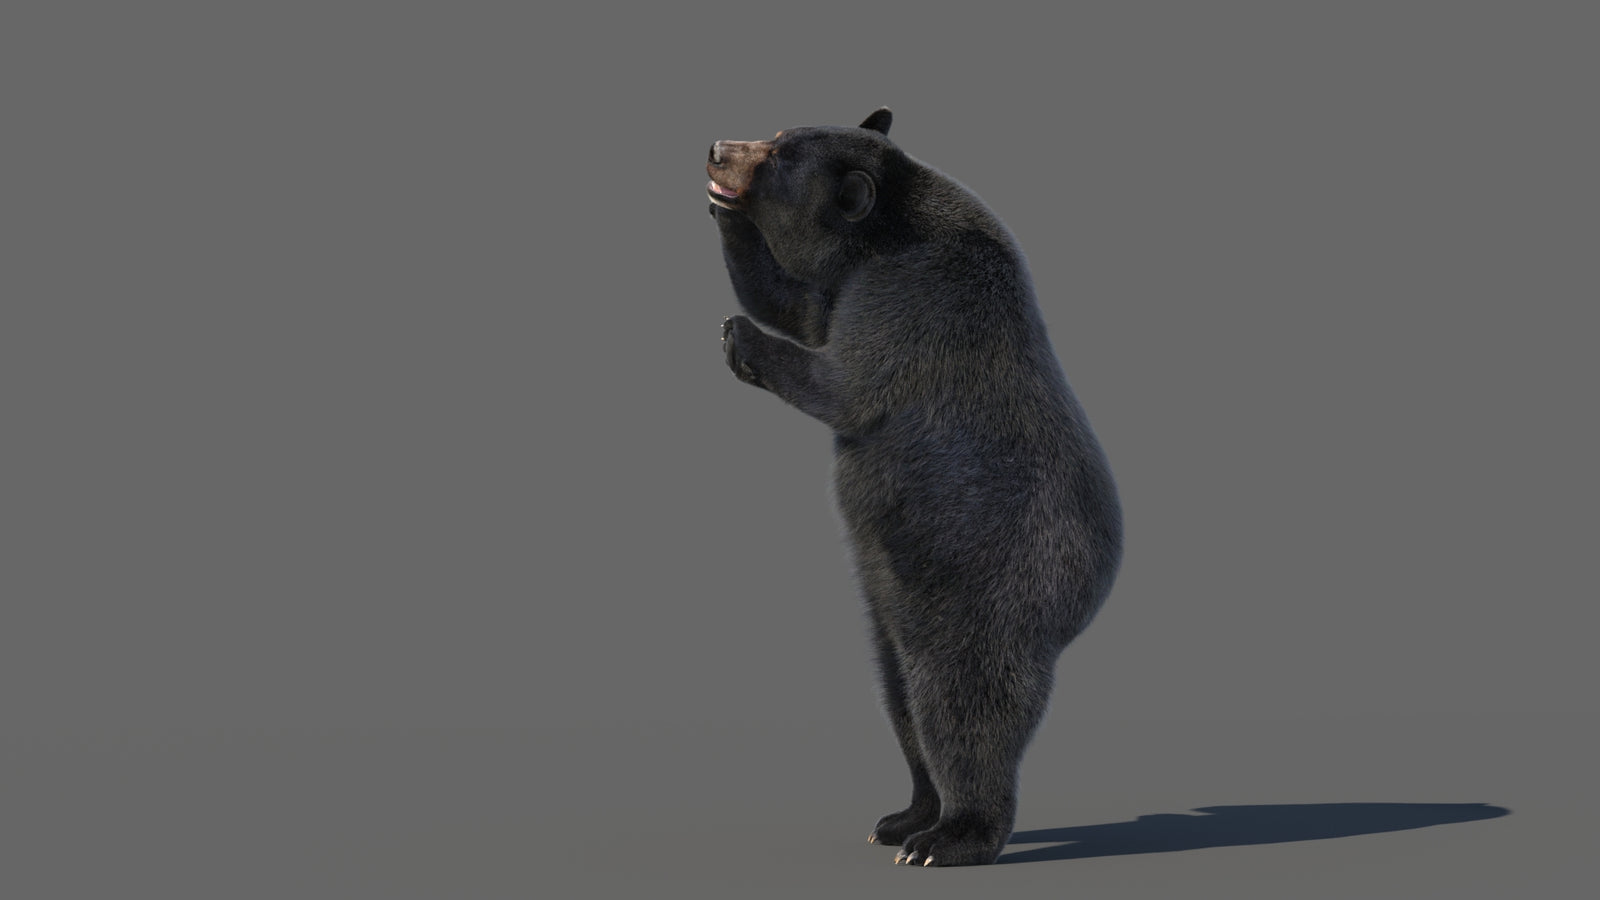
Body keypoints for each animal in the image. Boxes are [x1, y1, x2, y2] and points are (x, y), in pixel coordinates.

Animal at [706, 108, 1122, 867]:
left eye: (779, 158)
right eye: (776, 134)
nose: (719, 148)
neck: (885, 234)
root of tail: (1087, 598)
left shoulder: (914, 296)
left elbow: (845, 382)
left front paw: (741, 335)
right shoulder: (847, 283)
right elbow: (799, 303)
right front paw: (723, 216)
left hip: (986, 593)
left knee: (960, 709)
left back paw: (952, 836)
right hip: (890, 598)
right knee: (897, 695)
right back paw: (904, 816)